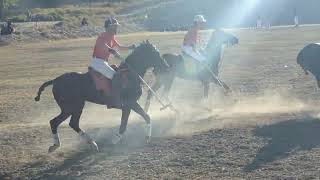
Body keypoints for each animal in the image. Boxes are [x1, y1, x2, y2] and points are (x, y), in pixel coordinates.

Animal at [34, 40, 169, 153]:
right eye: (155, 53)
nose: (167, 67)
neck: (131, 74)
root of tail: (55, 80)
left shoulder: (129, 105)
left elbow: (139, 119)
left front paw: (144, 137)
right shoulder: (130, 104)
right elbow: (132, 121)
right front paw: (118, 140)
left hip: (73, 107)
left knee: (68, 123)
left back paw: (89, 144)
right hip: (71, 107)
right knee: (59, 122)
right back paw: (61, 145)